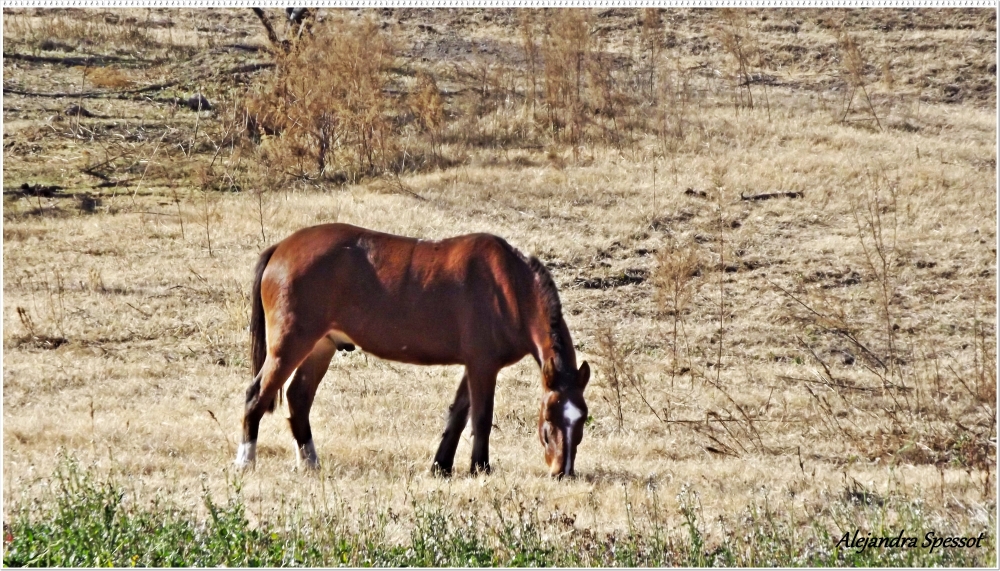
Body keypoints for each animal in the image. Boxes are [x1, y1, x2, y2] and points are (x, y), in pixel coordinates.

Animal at [237, 223, 588, 478]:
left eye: (582, 420)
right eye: (549, 421)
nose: (563, 472)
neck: (510, 287)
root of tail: (281, 248)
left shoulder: (473, 366)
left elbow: (458, 415)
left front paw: (441, 467)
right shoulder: (483, 366)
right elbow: (481, 418)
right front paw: (480, 468)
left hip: (320, 346)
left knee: (298, 397)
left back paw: (310, 462)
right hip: (289, 344)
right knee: (256, 394)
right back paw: (245, 461)